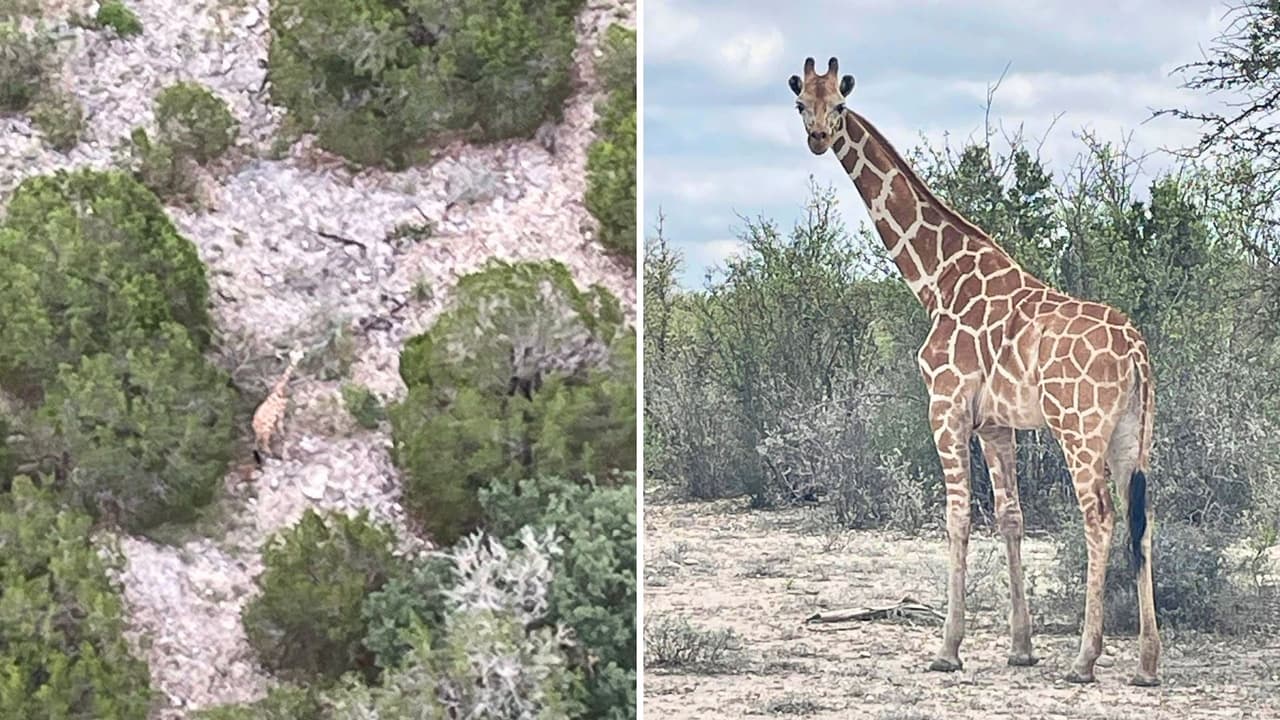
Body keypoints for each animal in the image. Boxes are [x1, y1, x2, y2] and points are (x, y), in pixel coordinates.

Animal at [788, 57, 1159, 686]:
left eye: (838, 104)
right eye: (800, 104)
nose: (816, 138)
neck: (936, 280)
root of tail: (1136, 352)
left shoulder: (946, 406)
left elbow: (958, 516)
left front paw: (947, 648)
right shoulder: (996, 423)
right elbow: (1011, 517)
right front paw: (1020, 646)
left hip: (1079, 429)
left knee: (1100, 517)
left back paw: (1085, 659)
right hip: (1133, 434)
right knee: (1143, 518)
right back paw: (1148, 663)